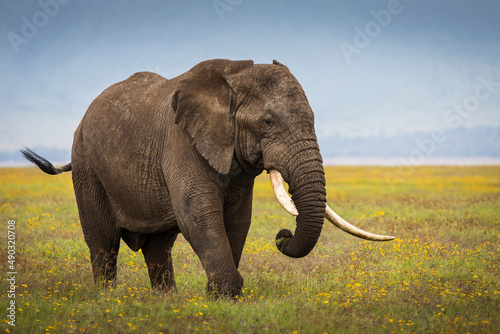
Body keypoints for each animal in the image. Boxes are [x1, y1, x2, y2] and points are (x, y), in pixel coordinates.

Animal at [22, 58, 394, 296]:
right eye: (268, 122)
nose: (283, 235)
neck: (233, 77)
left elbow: (237, 221)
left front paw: (217, 299)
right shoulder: (181, 142)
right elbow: (199, 216)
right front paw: (228, 295)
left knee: (157, 246)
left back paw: (166, 304)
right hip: (88, 166)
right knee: (102, 240)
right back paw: (108, 303)